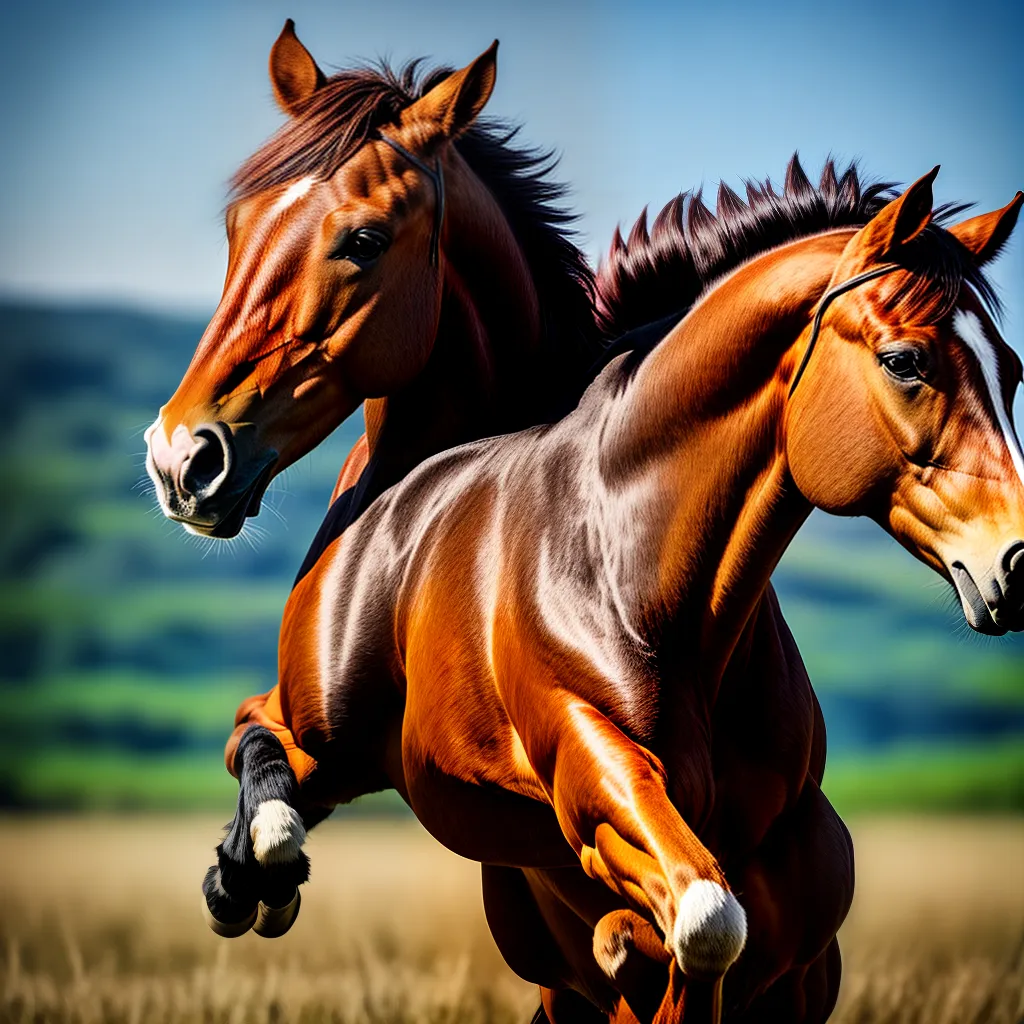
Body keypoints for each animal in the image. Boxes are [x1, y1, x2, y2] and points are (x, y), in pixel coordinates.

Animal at [174, 159, 1022, 1023]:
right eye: (905, 361)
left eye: (1013, 371)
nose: (1016, 561)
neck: (633, 570)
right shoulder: (592, 771)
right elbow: (707, 920)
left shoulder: (797, 919)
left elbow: (704, 937)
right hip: (331, 726)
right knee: (257, 729)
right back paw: (249, 876)